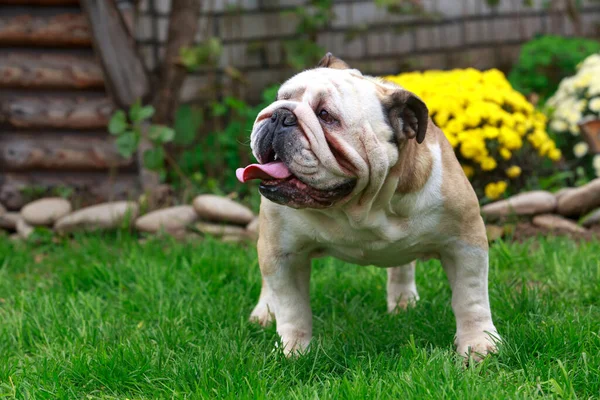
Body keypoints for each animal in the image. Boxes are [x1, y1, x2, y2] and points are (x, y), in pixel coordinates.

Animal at [237, 52, 500, 360]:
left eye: (325, 116)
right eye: (281, 97)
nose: (279, 114)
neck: (362, 206)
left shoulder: (464, 243)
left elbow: (471, 298)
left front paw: (479, 345)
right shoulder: (284, 254)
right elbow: (292, 308)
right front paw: (293, 350)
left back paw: (403, 302)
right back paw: (265, 312)